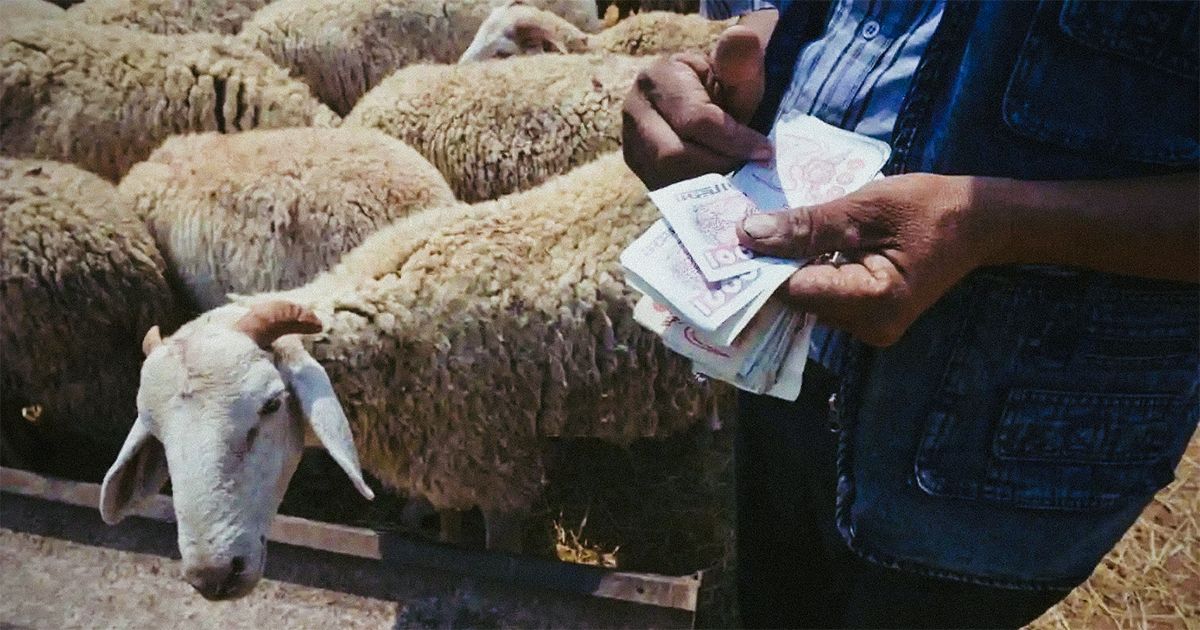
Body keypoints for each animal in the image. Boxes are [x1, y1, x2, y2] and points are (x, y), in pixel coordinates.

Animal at [99, 152, 715, 598]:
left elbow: (502, 551)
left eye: (272, 405)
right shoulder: (448, 459)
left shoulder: (500, 468)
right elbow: (447, 530)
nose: (213, 575)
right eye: (157, 434)